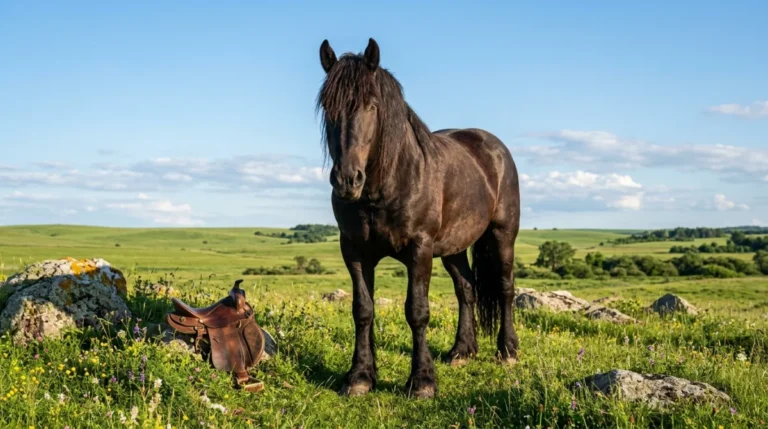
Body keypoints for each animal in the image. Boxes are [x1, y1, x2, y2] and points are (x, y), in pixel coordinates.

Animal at [315, 38, 521, 399]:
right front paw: (360, 376)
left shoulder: (419, 250)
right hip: (454, 247)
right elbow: (362, 310)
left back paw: (507, 351)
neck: (387, 184)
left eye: (372, 106)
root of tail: (493, 147)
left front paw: (422, 381)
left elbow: (417, 311)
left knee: (505, 288)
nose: (347, 180)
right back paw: (462, 351)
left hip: (502, 235)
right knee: (466, 290)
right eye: (328, 107)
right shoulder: (353, 251)